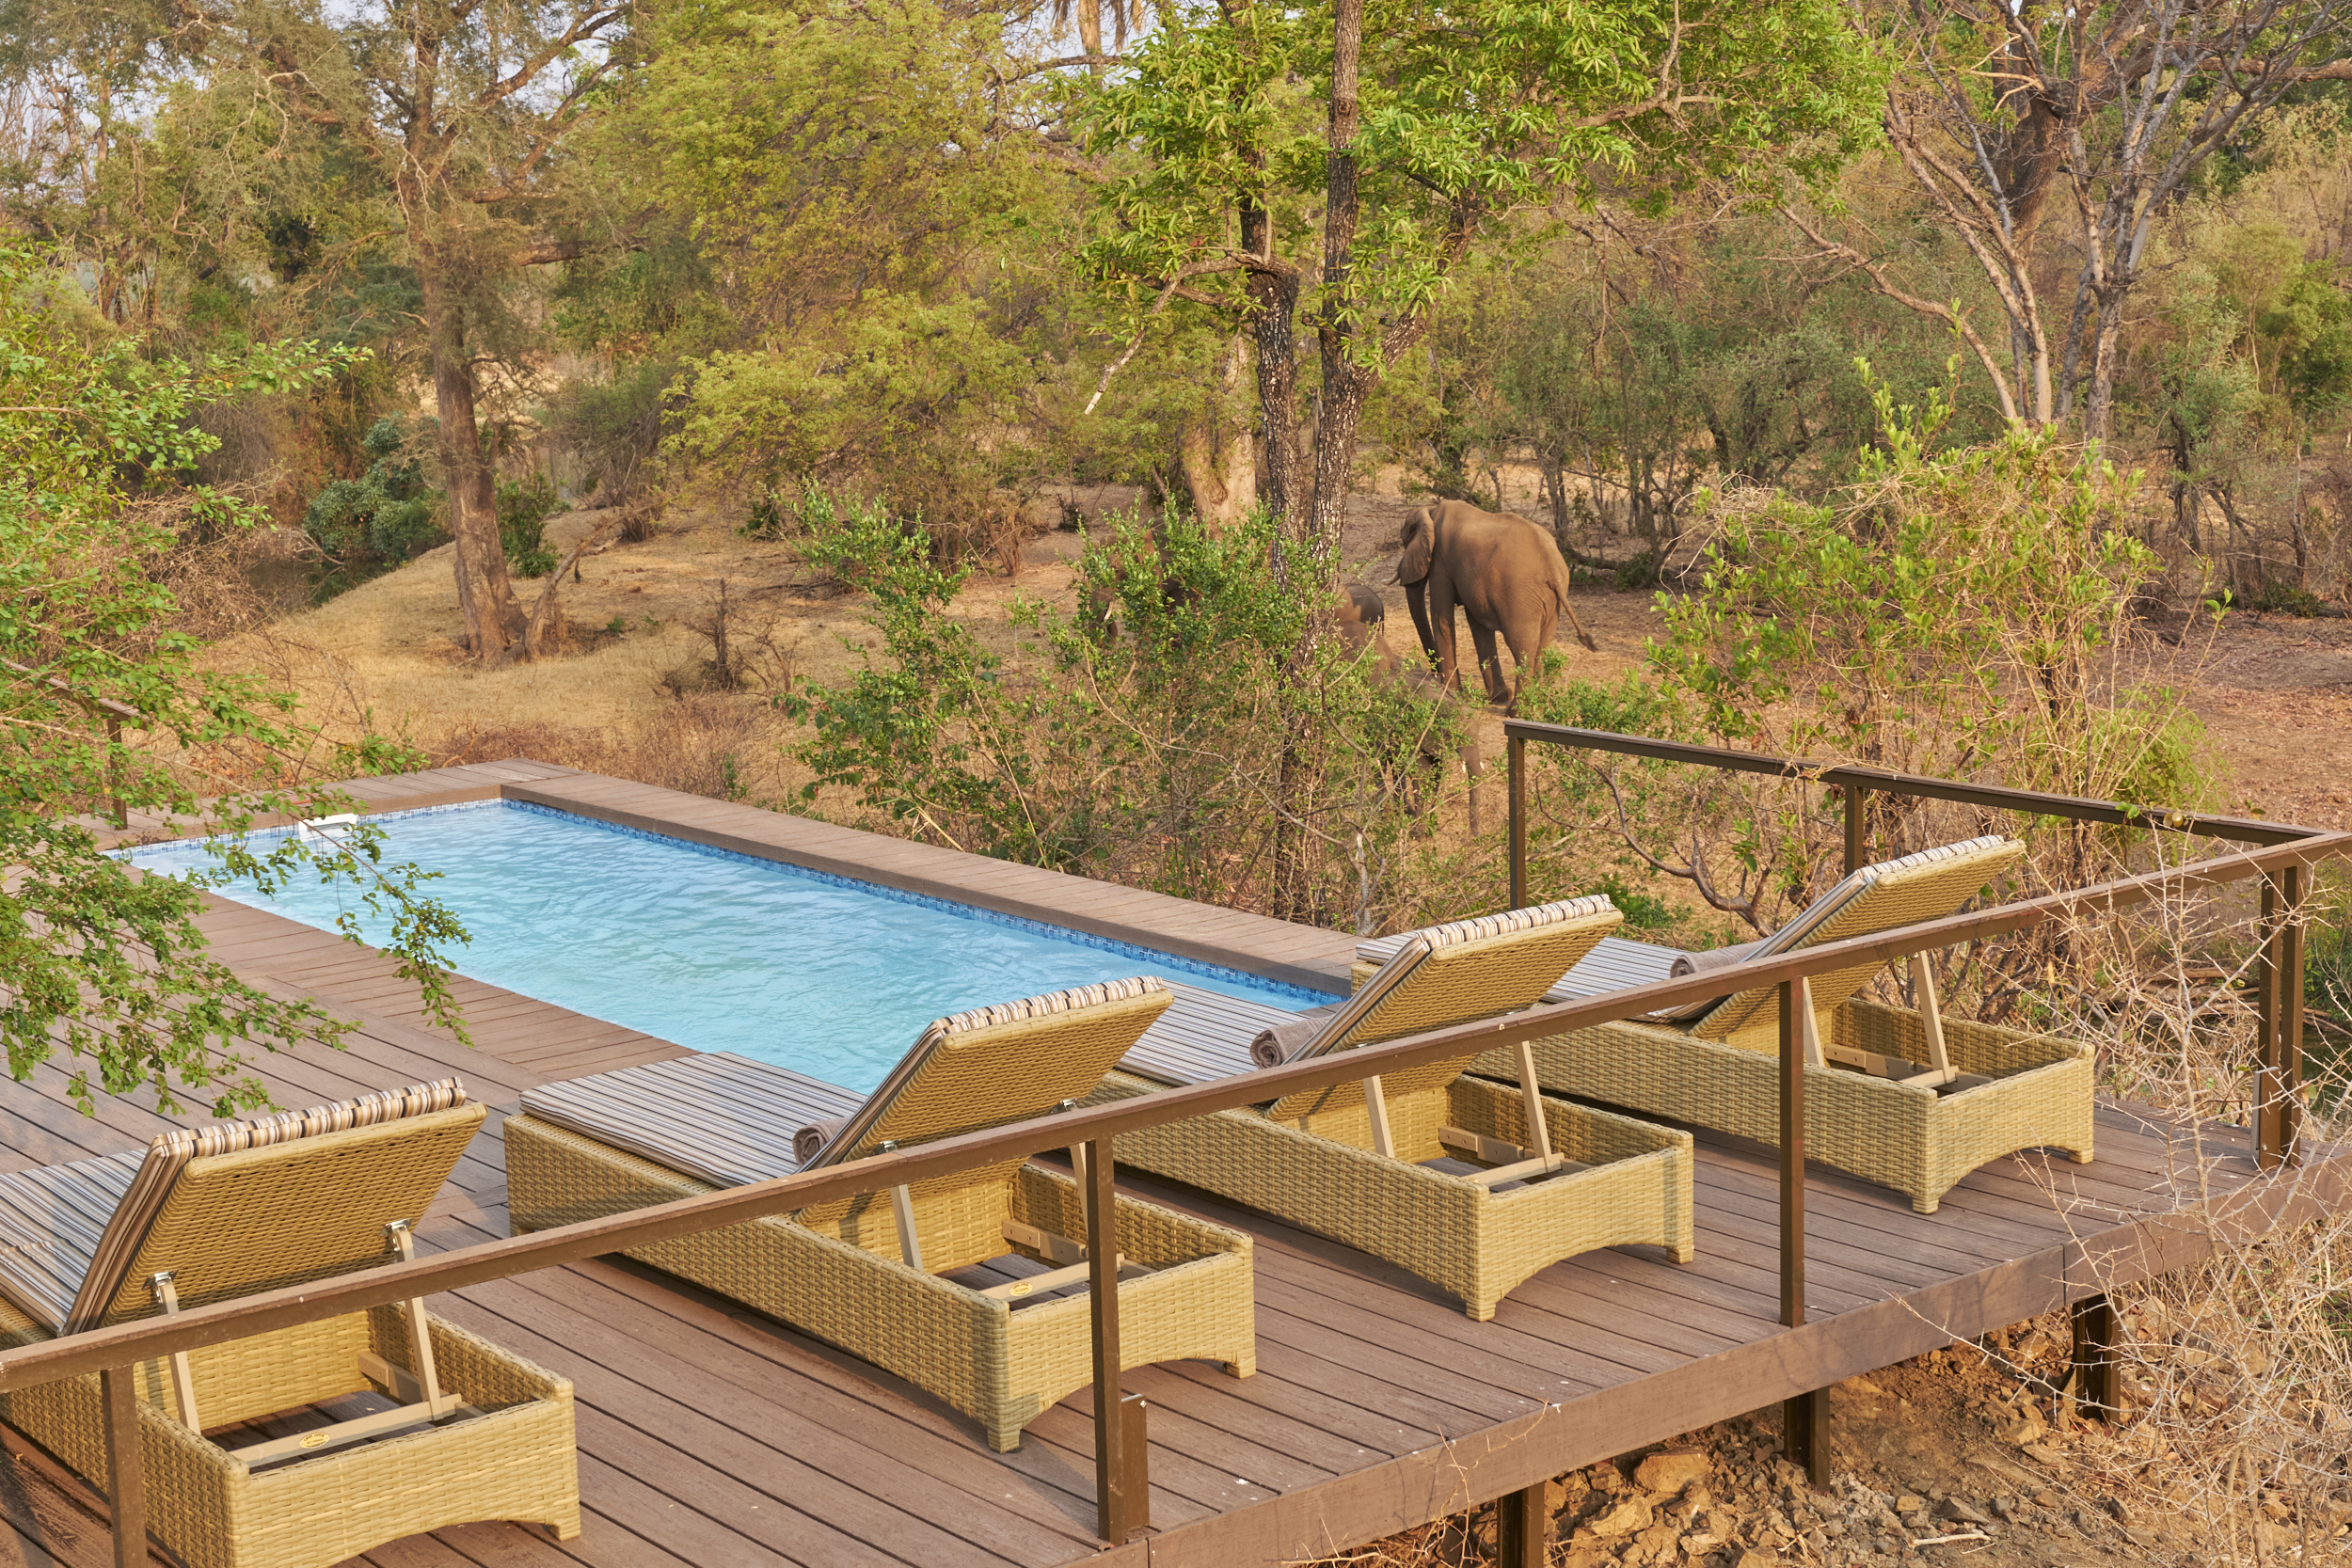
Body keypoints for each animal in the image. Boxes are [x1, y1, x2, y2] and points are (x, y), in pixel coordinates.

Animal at [1392, 499, 1598, 709]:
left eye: (1405, 540)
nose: (1433, 675)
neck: (1431, 511)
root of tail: (1553, 568)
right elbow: (1478, 626)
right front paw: (1496, 697)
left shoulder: (1440, 562)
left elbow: (1442, 619)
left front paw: (1452, 693)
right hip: (1552, 599)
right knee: (1542, 645)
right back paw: (1536, 706)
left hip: (1520, 597)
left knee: (1521, 645)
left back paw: (1516, 711)